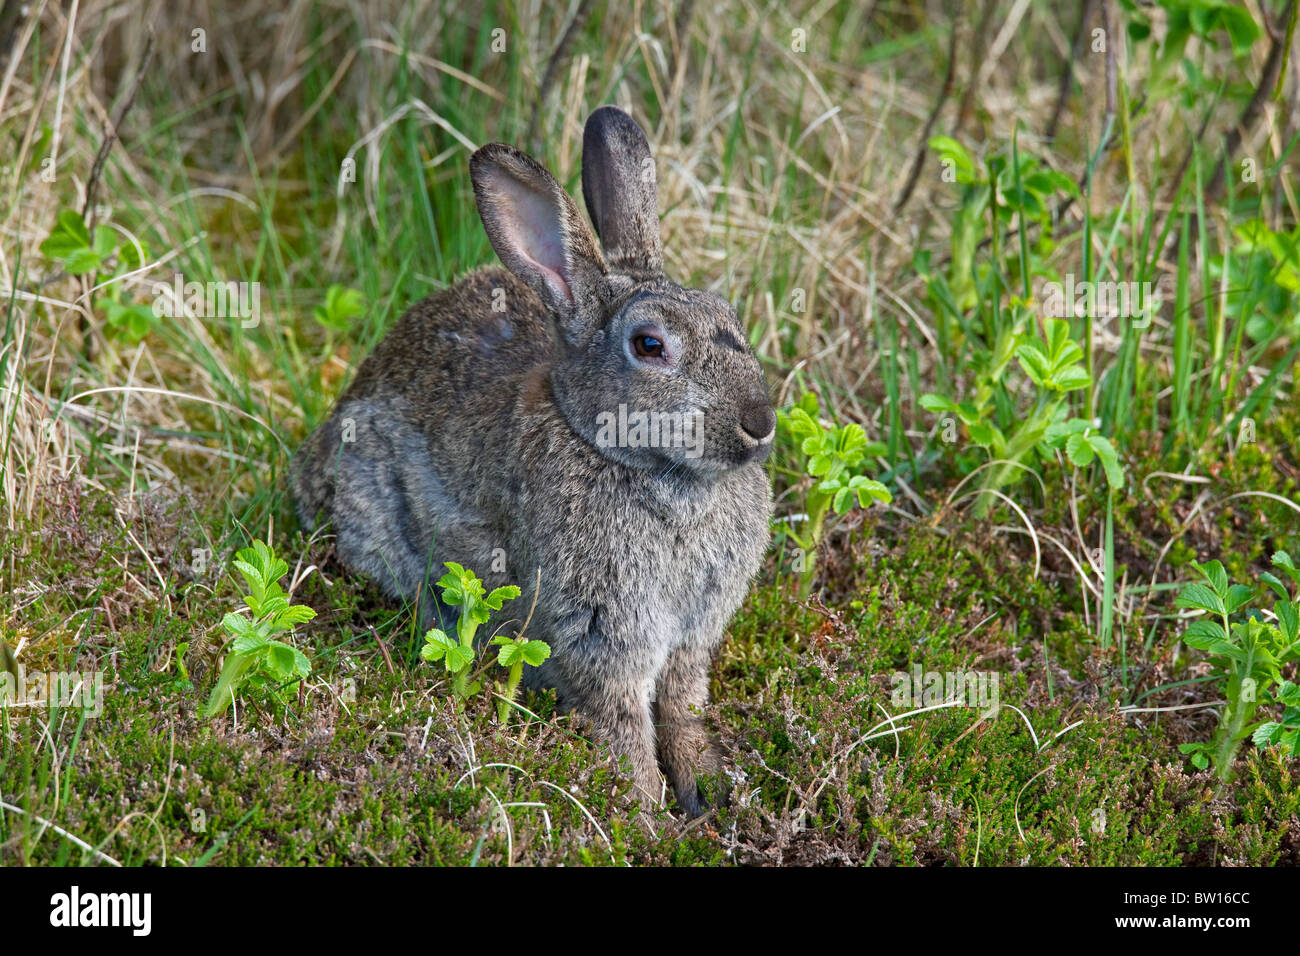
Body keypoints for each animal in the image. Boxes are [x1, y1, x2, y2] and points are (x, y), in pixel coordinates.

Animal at [290, 106, 774, 816]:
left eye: (728, 316)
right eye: (649, 345)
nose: (760, 424)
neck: (650, 469)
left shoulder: (692, 634)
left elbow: (682, 706)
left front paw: (708, 790)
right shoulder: (601, 627)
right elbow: (621, 718)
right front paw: (644, 812)